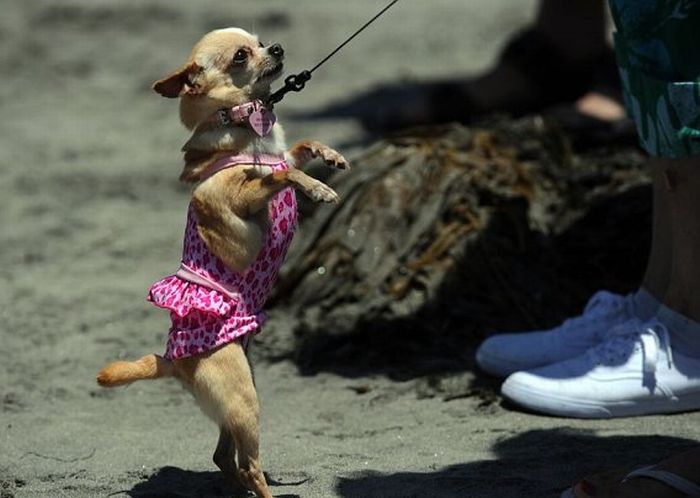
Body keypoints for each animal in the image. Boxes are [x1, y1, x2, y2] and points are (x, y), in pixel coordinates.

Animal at [97, 28, 348, 498]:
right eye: (240, 57)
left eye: (261, 41)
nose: (278, 49)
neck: (247, 129)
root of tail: (171, 359)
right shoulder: (239, 200)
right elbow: (281, 173)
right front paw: (317, 187)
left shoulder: (280, 153)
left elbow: (294, 152)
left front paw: (329, 155)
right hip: (242, 398)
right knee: (247, 463)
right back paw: (264, 491)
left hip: (240, 395)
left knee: (223, 458)